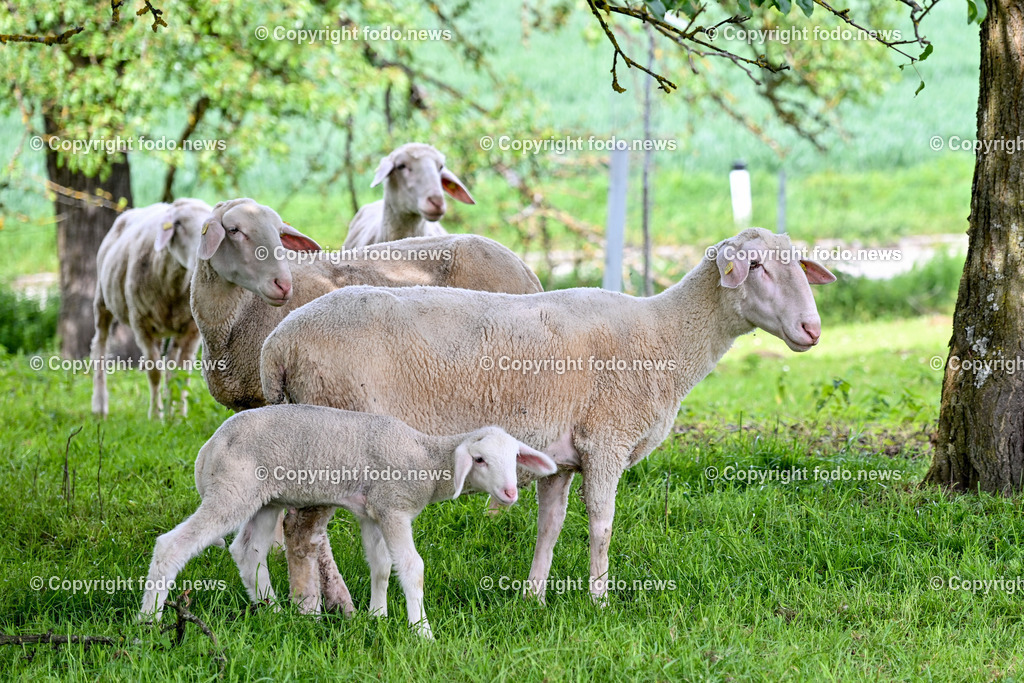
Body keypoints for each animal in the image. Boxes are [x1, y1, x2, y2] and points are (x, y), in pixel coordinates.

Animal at [91, 198, 212, 419]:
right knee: (100, 346)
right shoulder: (141, 323)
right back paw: (99, 406)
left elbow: (182, 371)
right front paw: (156, 415)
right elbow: (154, 371)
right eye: (178, 224)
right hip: (102, 299)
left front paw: (178, 415)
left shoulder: (192, 329)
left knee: (172, 365)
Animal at [137, 405, 557, 638]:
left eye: (515, 456)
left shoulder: (371, 511)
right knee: (171, 546)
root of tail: (207, 448)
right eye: (480, 460)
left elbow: (382, 566)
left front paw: (378, 616)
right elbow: (411, 567)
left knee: (248, 552)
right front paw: (422, 632)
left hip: (265, 497)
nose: (510, 493)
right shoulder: (393, 506)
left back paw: (273, 613)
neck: (425, 459)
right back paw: (148, 624)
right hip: (232, 489)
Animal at [260, 228, 836, 605]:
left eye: (800, 266)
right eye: (756, 267)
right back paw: (312, 610)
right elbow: (602, 523)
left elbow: (550, 526)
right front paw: (599, 601)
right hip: (334, 433)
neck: (666, 335)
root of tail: (278, 345)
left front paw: (534, 598)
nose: (812, 329)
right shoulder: (607, 439)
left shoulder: (560, 456)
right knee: (301, 533)